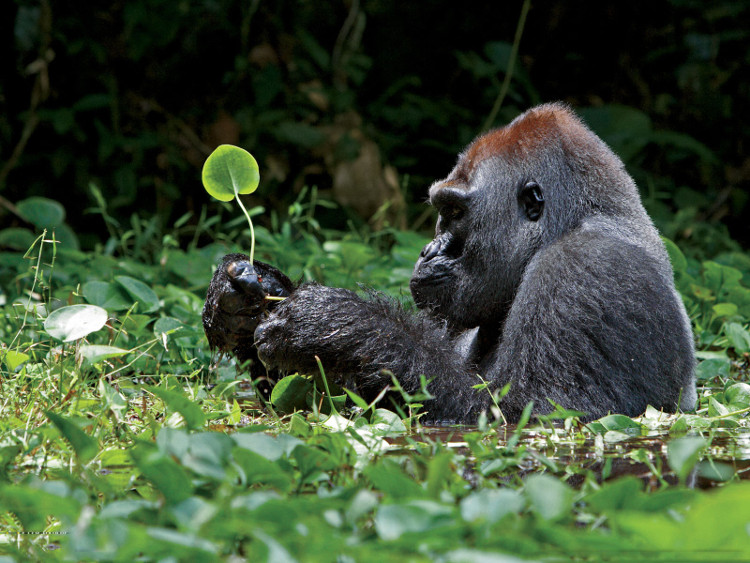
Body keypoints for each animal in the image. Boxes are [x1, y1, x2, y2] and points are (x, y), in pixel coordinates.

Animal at [204, 103, 700, 426]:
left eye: (455, 213)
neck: (570, 222)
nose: (429, 250)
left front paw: (337, 324)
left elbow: (526, 413)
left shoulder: (587, 269)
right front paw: (245, 301)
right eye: (442, 211)